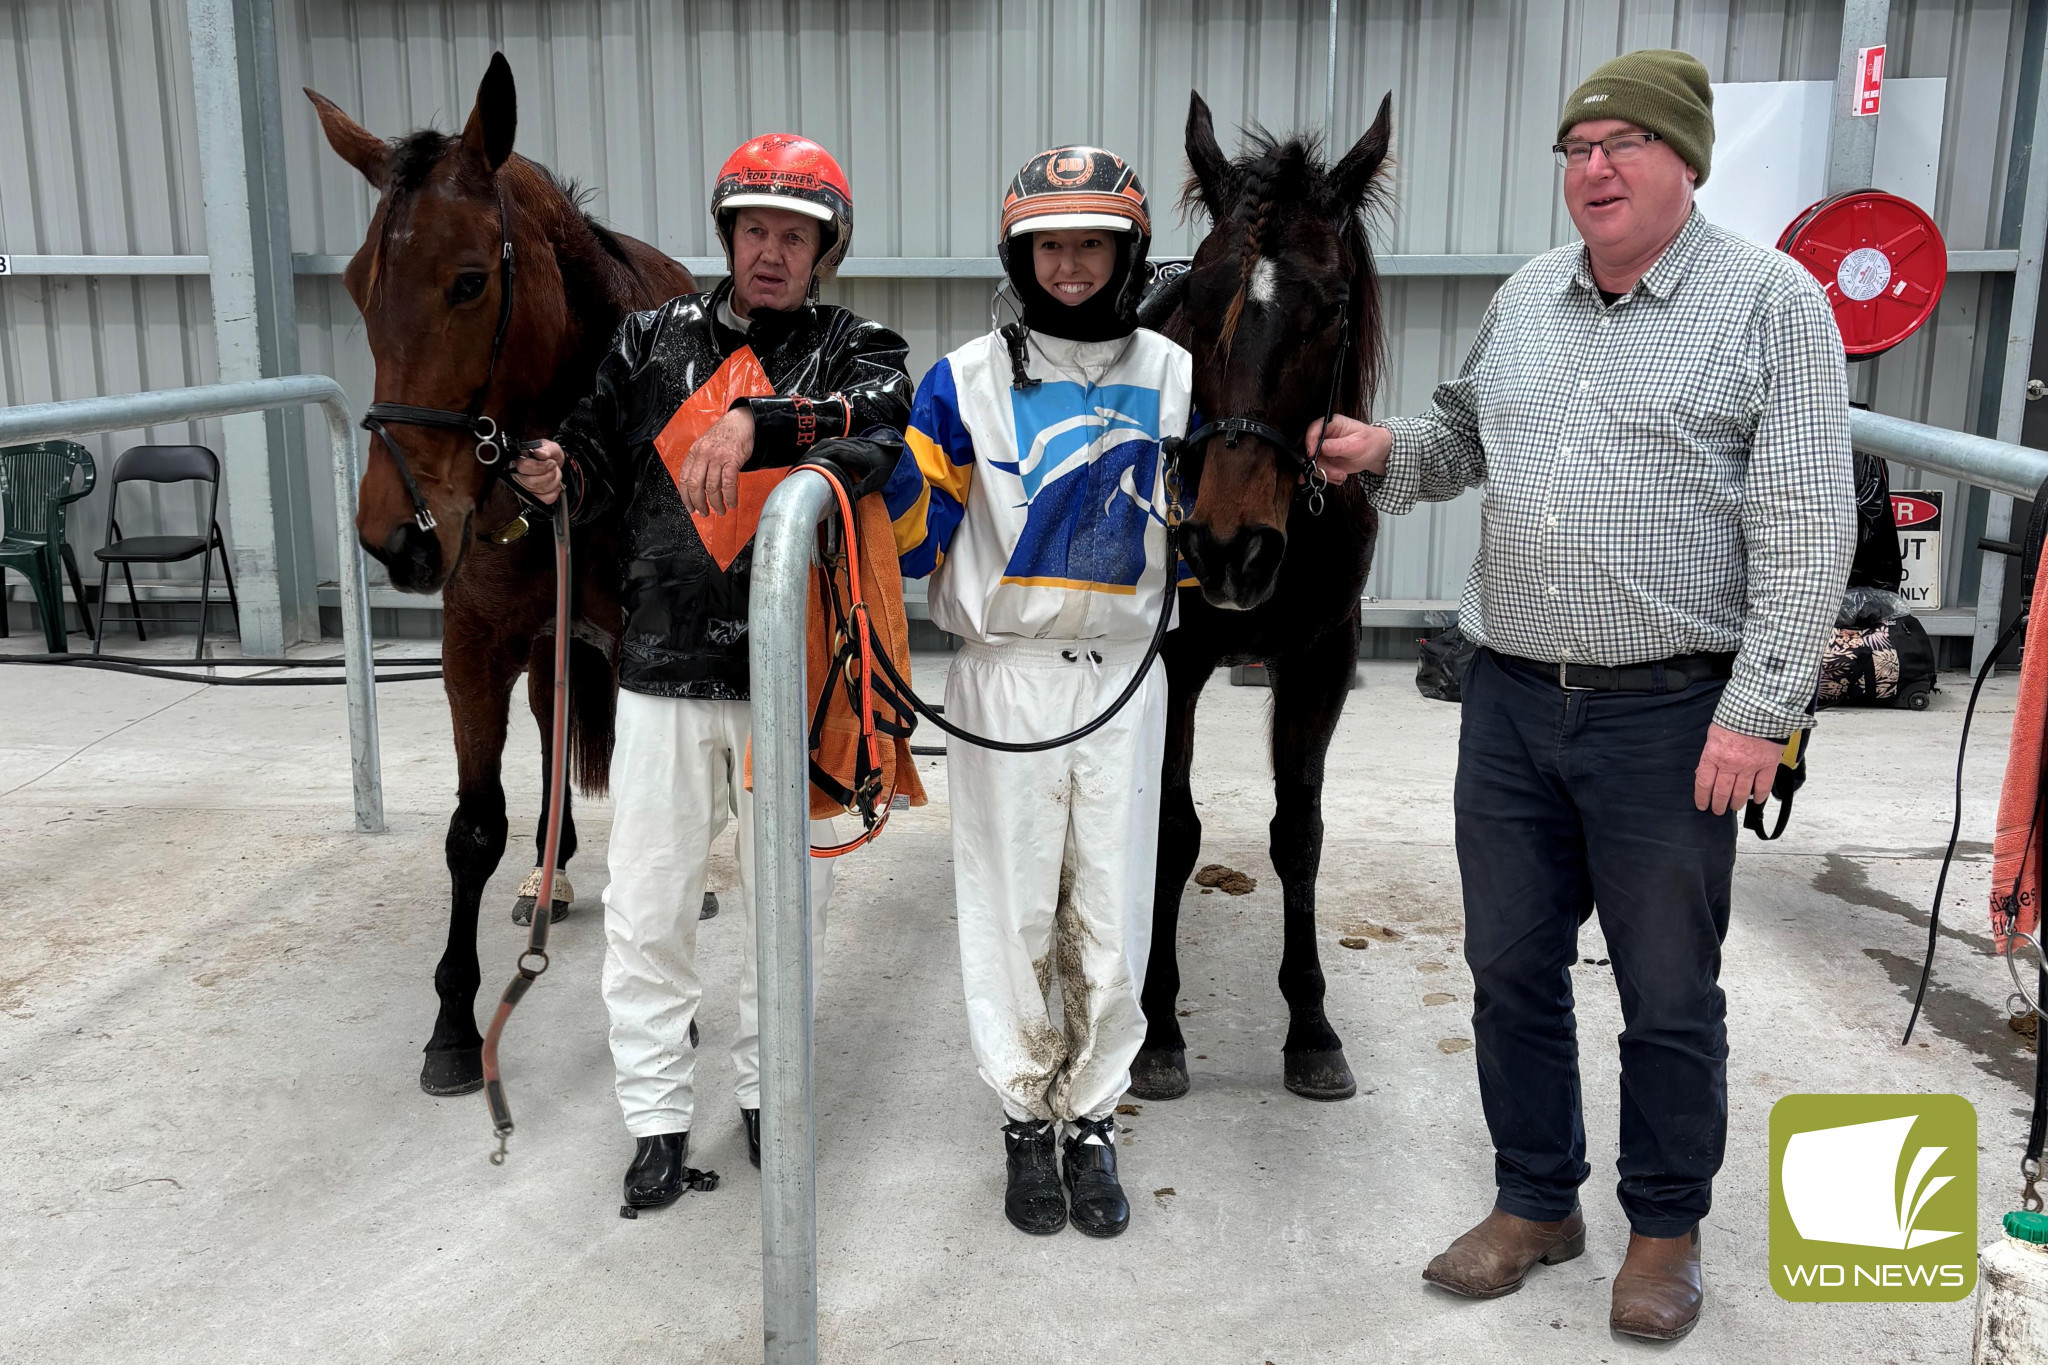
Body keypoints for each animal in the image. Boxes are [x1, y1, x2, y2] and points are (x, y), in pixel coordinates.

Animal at [303, 56, 688, 1096]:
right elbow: (473, 827)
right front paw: (450, 1025)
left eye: (469, 282)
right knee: (553, 729)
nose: (397, 537)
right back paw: (547, 871)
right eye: (354, 285)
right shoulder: (472, 647)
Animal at [1130, 93, 1400, 1096]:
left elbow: (1300, 834)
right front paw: (1158, 1024)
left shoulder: (1322, 657)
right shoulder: (1173, 661)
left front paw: (1312, 1026)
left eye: (1332, 308)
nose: (1227, 547)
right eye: (1203, 301)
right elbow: (1172, 829)